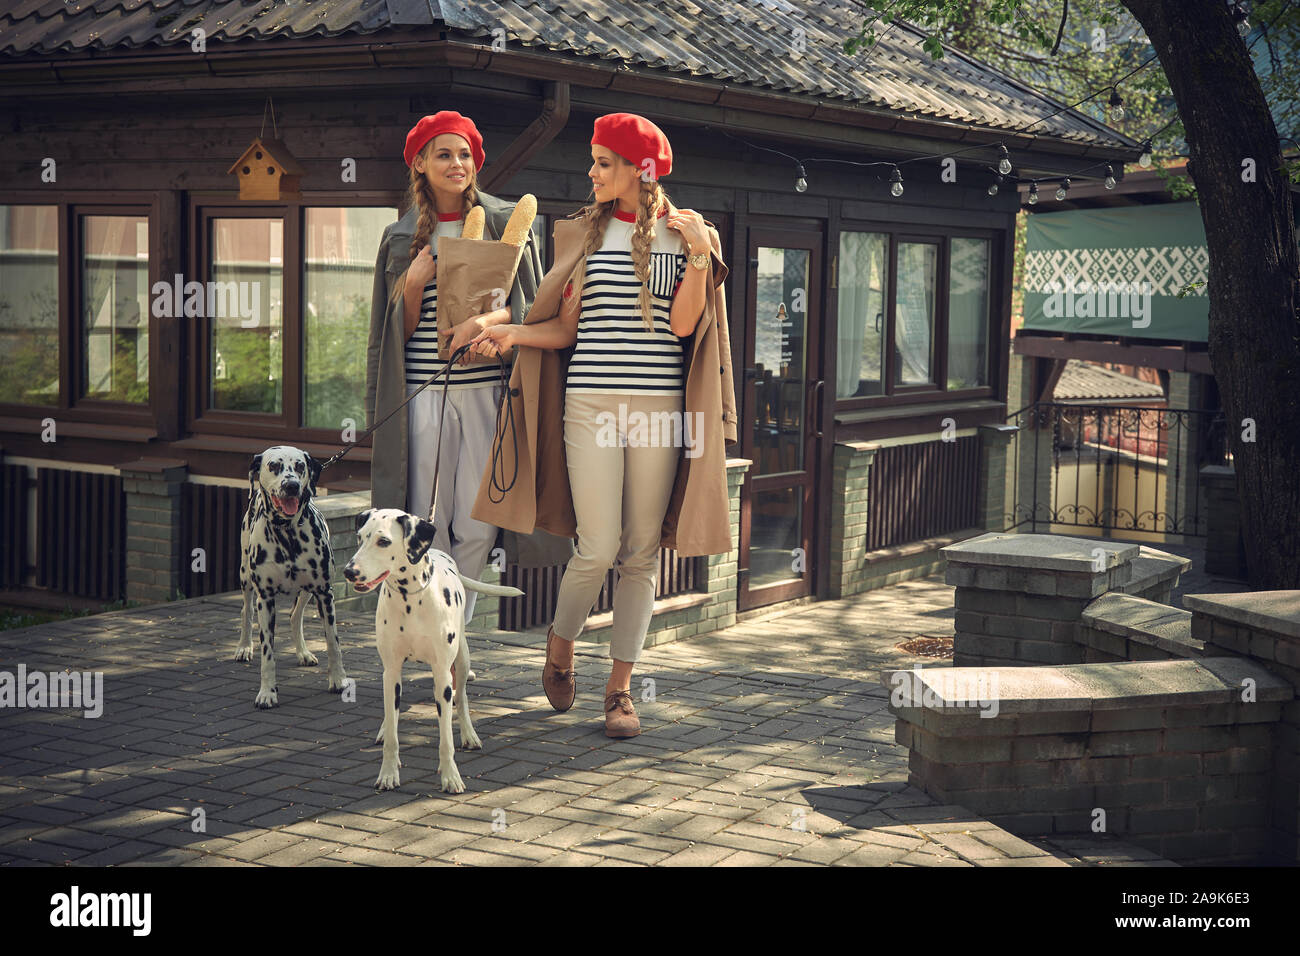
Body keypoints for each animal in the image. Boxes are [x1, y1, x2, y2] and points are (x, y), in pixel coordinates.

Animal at [233, 444, 345, 707]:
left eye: (300, 466)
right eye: (273, 465)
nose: (292, 485)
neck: (288, 533)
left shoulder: (325, 594)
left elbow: (332, 643)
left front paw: (338, 680)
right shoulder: (265, 600)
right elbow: (268, 654)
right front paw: (267, 692)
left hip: (306, 592)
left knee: (295, 616)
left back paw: (303, 652)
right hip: (245, 578)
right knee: (246, 611)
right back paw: (244, 647)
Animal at [351, 509, 527, 790]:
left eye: (384, 541)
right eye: (359, 538)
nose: (349, 571)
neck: (410, 599)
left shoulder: (443, 675)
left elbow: (446, 738)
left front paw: (450, 776)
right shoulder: (391, 670)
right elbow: (393, 735)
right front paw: (388, 772)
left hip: (462, 660)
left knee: (462, 697)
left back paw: (469, 733)